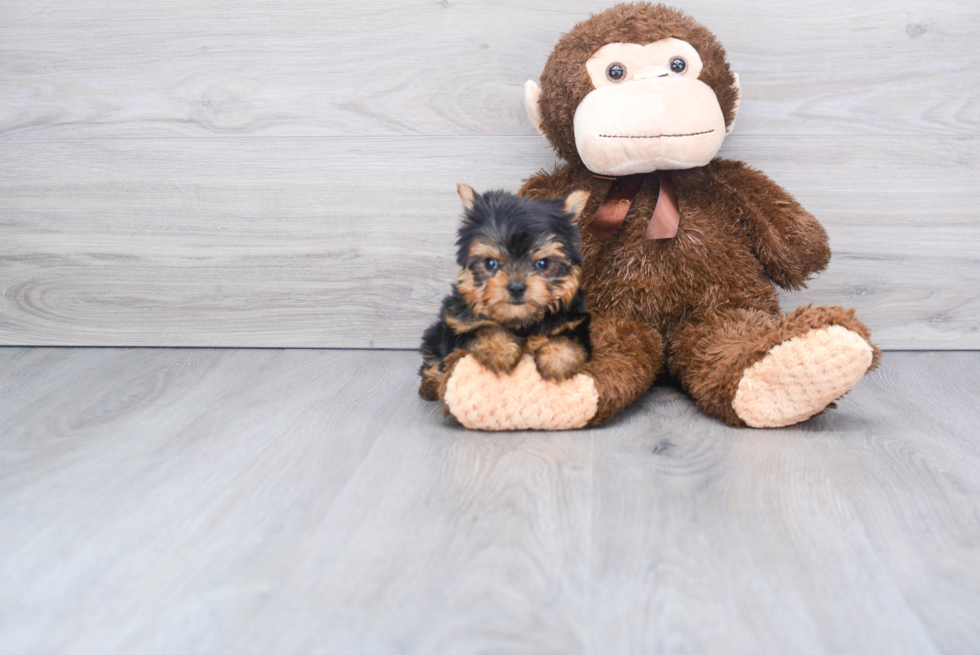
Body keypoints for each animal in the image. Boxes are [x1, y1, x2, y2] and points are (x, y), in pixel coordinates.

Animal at [420, 183, 592, 400]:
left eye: (543, 263)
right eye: (490, 263)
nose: (516, 287)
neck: (519, 322)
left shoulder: (576, 322)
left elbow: (568, 339)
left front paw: (557, 361)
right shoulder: (457, 323)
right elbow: (483, 329)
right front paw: (500, 350)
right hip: (436, 334)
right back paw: (430, 385)